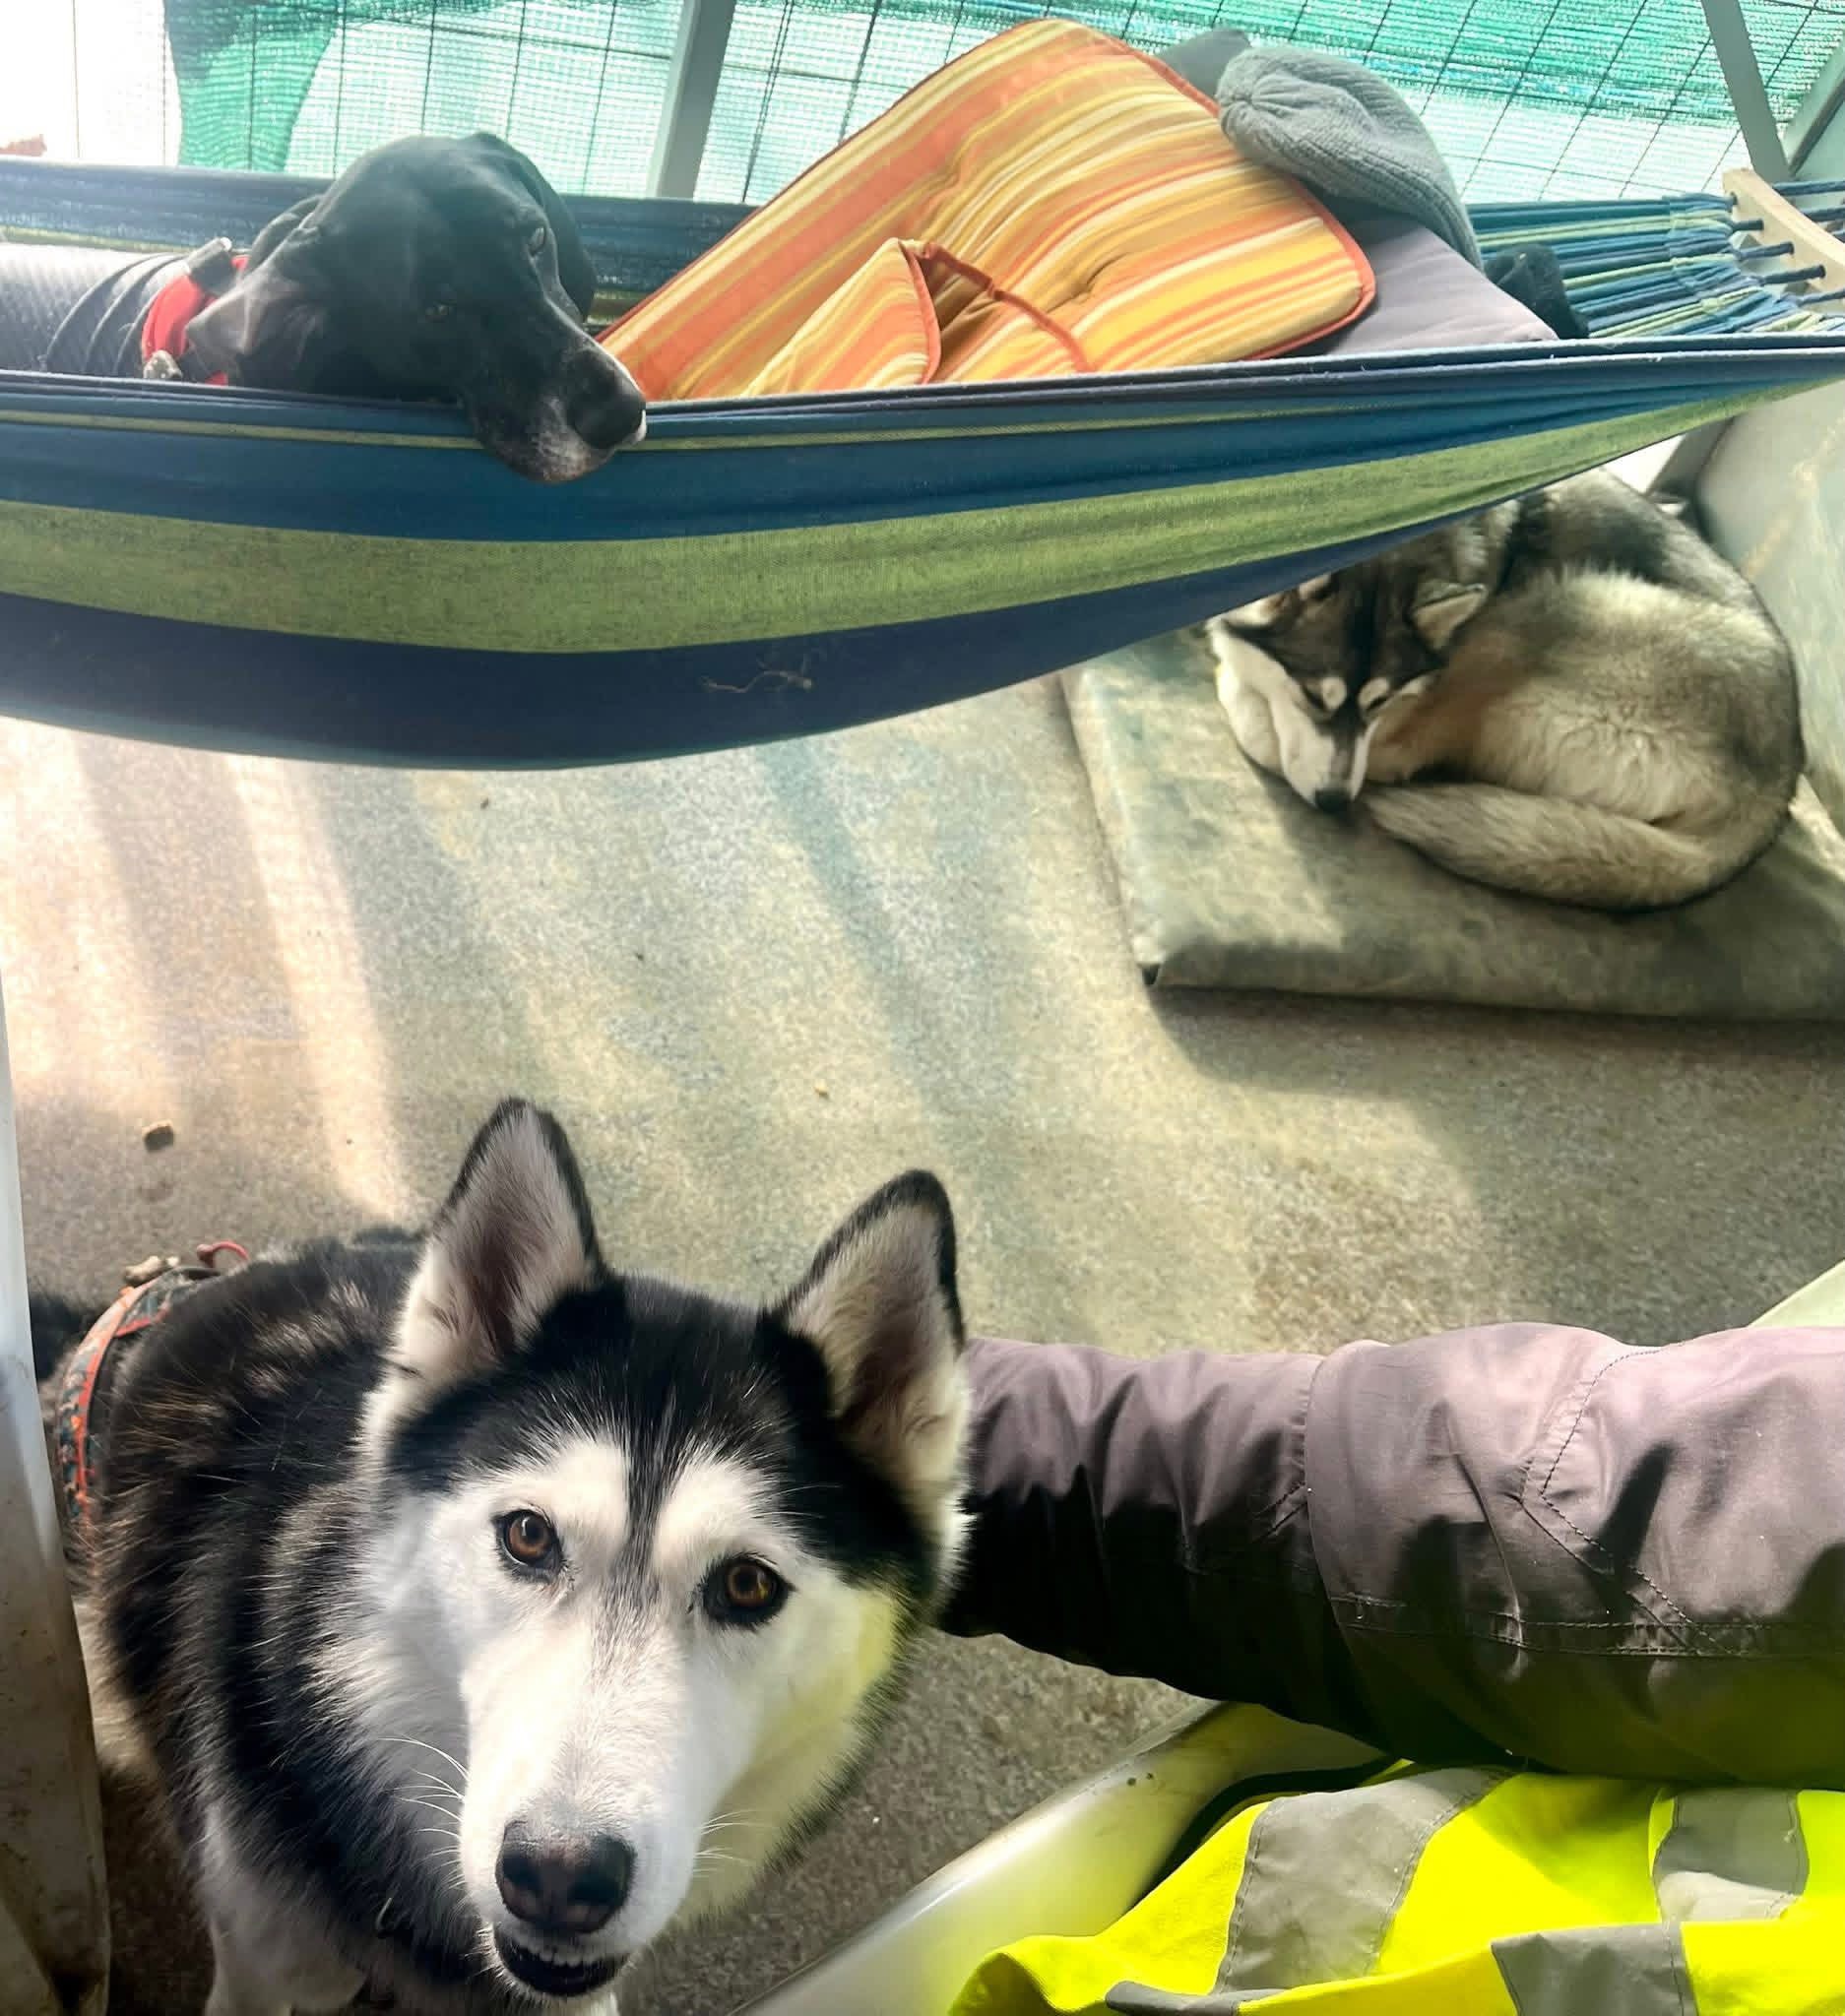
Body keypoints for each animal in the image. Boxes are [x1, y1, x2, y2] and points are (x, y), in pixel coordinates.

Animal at [1205, 470, 1803, 910]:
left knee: (1391, 757)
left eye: (1382, 701)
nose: (1334, 803)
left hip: (1551, 607)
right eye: (1313, 697)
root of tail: (1773, 795)